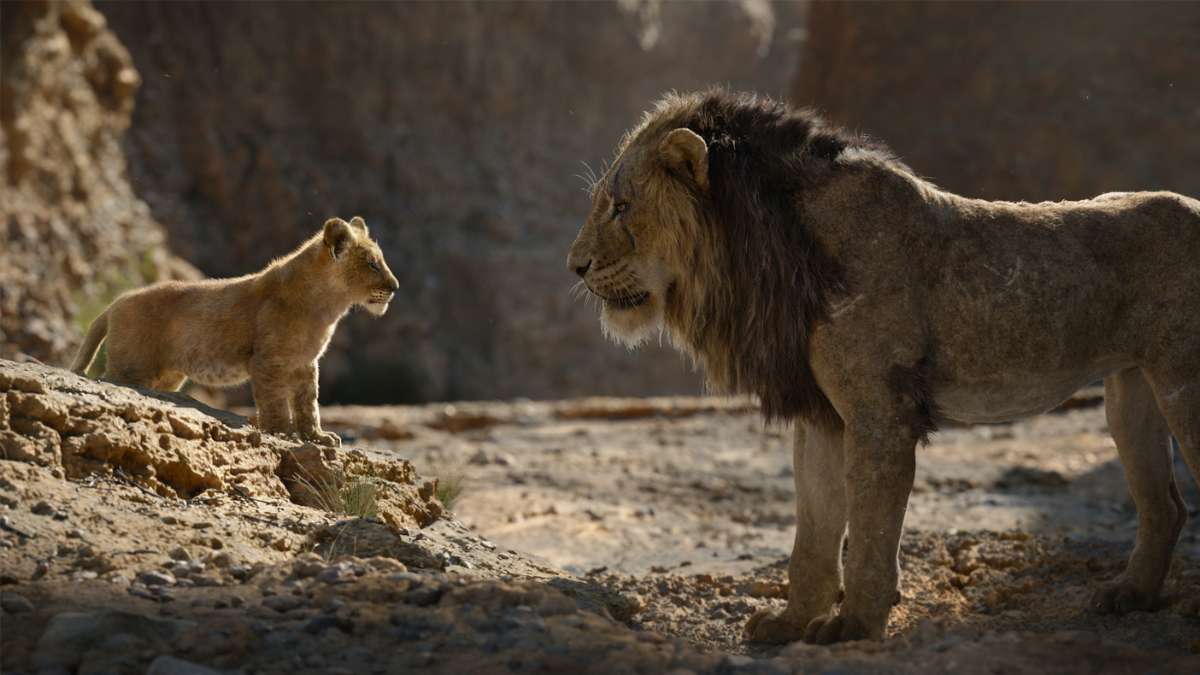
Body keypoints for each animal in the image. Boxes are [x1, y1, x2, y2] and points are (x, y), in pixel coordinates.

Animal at [71, 216, 399, 447]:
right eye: (372, 264)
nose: (395, 287)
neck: (327, 306)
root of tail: (115, 303)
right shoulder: (267, 360)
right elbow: (274, 402)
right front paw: (282, 433)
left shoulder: (305, 363)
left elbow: (308, 403)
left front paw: (317, 437)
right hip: (131, 368)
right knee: (111, 380)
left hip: (166, 377)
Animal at [567, 88, 1200, 644]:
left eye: (621, 207)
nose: (575, 266)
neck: (768, 250)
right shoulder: (822, 415)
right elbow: (813, 534)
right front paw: (791, 624)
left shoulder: (880, 414)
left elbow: (870, 534)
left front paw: (853, 628)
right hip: (1131, 391)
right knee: (1166, 506)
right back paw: (1130, 596)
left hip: (1182, 383)